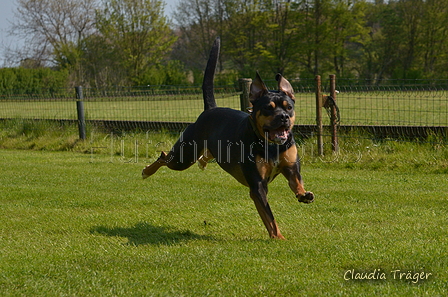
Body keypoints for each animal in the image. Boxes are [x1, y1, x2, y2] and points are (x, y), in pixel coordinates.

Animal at [142, 37, 314, 239]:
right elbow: (269, 217)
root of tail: (209, 110)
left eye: (289, 107)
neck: (271, 146)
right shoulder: (257, 186)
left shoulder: (291, 166)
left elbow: (297, 182)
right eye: (268, 108)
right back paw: (147, 171)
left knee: (203, 154)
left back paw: (203, 162)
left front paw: (304, 195)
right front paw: (278, 237)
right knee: (164, 157)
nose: (284, 117)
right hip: (184, 156)